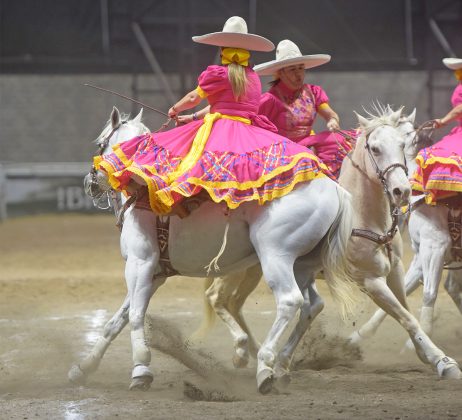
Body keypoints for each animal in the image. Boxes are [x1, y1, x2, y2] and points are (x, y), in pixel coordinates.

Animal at [70, 106, 360, 394]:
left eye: (99, 143)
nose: (89, 182)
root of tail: (336, 190)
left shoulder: (140, 263)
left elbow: (135, 315)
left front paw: (141, 369)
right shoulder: (155, 274)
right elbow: (117, 320)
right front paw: (84, 368)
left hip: (275, 258)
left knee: (290, 301)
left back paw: (265, 366)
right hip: (302, 265)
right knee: (311, 305)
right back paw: (280, 365)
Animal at [350, 110, 462, 346]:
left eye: (401, 144)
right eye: (375, 147)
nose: (401, 191)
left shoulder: (435, 247)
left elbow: (429, 293)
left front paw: (417, 340)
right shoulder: (423, 254)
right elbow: (404, 293)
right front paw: (361, 334)